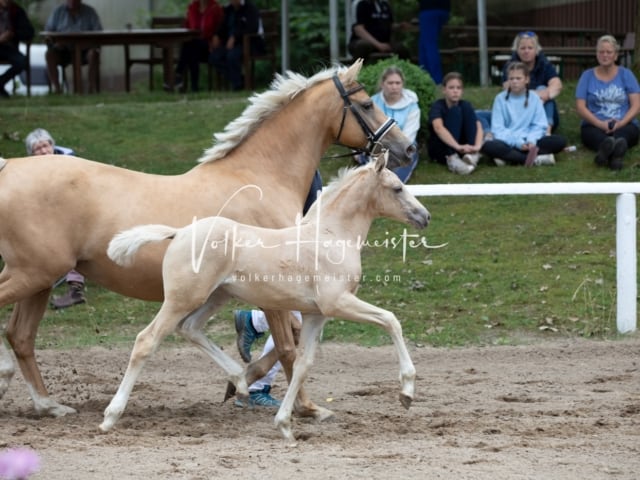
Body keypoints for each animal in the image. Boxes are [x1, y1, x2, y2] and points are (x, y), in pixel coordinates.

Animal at [100, 152, 430, 440]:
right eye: (397, 188)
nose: (424, 216)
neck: (330, 235)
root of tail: (179, 232)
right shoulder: (337, 303)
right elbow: (390, 320)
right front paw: (407, 393)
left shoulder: (315, 314)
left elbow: (303, 363)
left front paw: (284, 424)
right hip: (182, 299)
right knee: (146, 340)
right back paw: (110, 417)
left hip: (215, 297)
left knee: (190, 328)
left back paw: (240, 381)